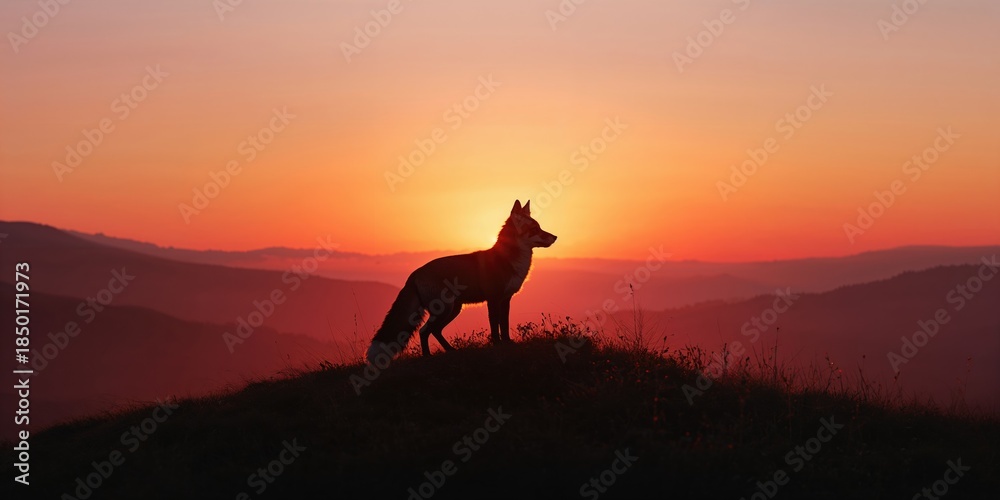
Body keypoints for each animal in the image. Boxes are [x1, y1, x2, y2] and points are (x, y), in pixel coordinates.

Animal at [366, 200, 557, 363]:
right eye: (535, 229)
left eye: (540, 227)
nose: (555, 237)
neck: (508, 261)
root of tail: (414, 274)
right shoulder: (493, 299)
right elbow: (495, 327)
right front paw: (497, 345)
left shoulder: (505, 299)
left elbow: (504, 325)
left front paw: (507, 343)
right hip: (444, 309)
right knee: (424, 330)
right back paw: (427, 356)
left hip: (453, 309)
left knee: (434, 330)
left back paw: (450, 350)